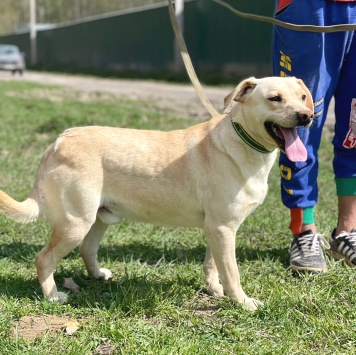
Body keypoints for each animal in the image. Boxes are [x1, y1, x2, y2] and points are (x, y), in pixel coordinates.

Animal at [0, 76, 312, 312]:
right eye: (274, 98)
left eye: (303, 96)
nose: (307, 116)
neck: (242, 140)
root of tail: (57, 142)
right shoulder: (223, 228)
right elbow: (232, 273)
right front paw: (243, 303)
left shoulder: (218, 228)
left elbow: (213, 265)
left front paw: (214, 289)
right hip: (74, 223)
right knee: (43, 259)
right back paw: (53, 296)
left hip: (98, 218)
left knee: (87, 249)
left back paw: (98, 275)